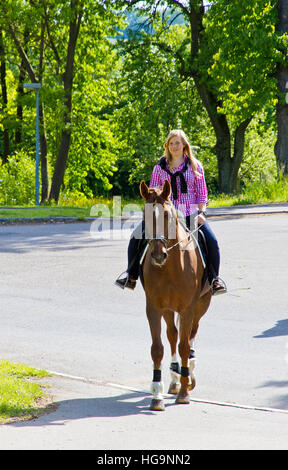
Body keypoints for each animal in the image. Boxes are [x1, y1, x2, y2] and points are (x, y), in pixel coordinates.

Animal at [140, 178, 212, 410]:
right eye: (145, 216)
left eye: (166, 215)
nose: (158, 255)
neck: (170, 267)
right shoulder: (154, 307)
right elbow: (158, 348)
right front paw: (157, 395)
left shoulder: (188, 308)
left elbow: (184, 346)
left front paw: (184, 392)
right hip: (169, 309)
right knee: (172, 334)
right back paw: (173, 379)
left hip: (201, 305)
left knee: (190, 336)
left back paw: (188, 376)